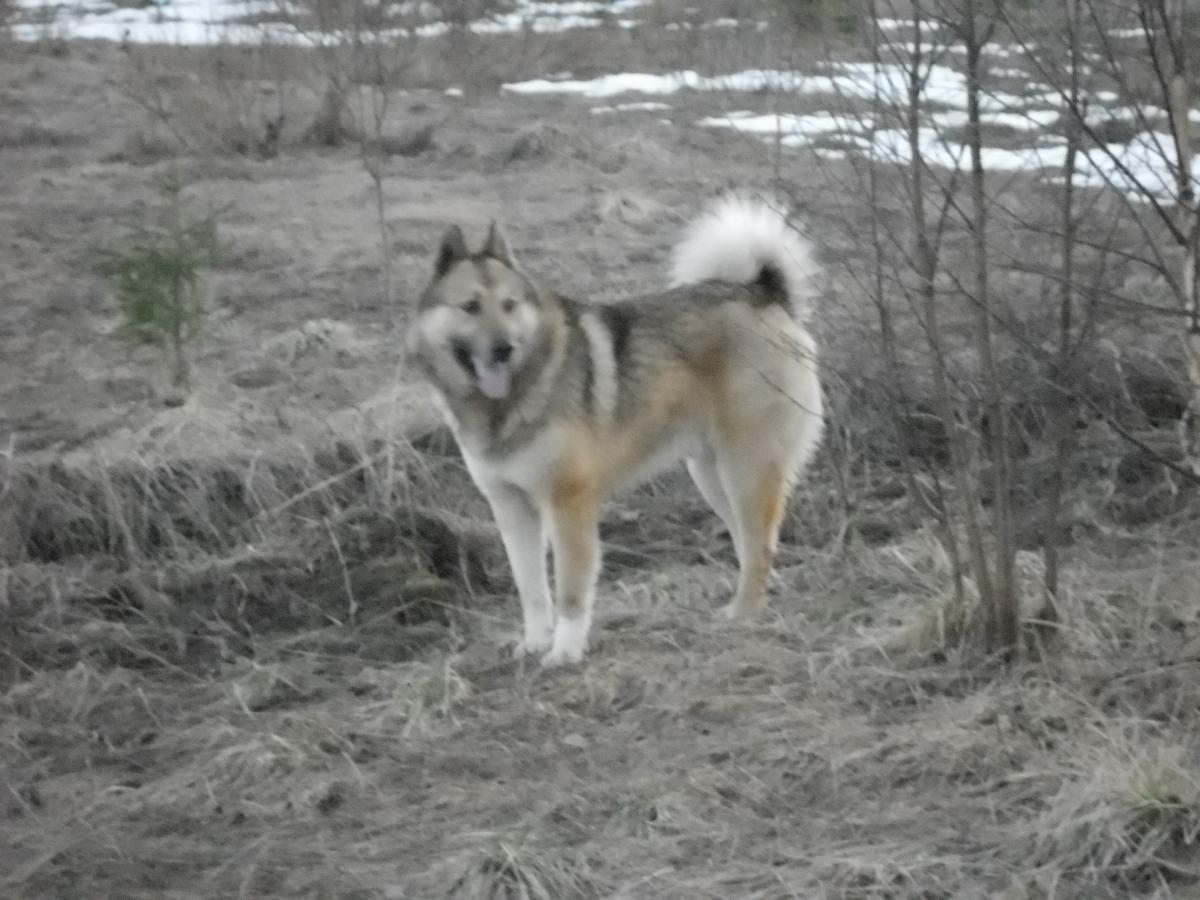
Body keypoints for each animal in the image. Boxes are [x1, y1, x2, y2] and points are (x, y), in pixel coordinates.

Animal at [408, 194, 820, 667]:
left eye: (509, 305)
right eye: (470, 307)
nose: (503, 348)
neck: (514, 395)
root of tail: (764, 293)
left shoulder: (568, 504)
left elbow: (570, 591)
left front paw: (565, 652)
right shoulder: (512, 509)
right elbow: (532, 590)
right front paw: (534, 643)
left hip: (746, 469)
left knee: (760, 544)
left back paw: (745, 615)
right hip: (712, 474)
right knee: (753, 544)